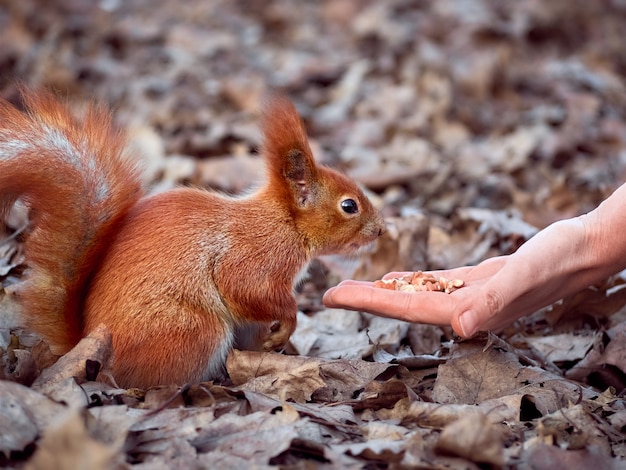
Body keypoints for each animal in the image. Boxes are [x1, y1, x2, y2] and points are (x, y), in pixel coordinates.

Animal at [0, 90, 382, 388]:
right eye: (349, 206)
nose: (380, 229)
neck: (284, 222)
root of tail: (89, 350)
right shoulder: (254, 255)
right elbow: (246, 290)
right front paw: (288, 324)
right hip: (195, 330)